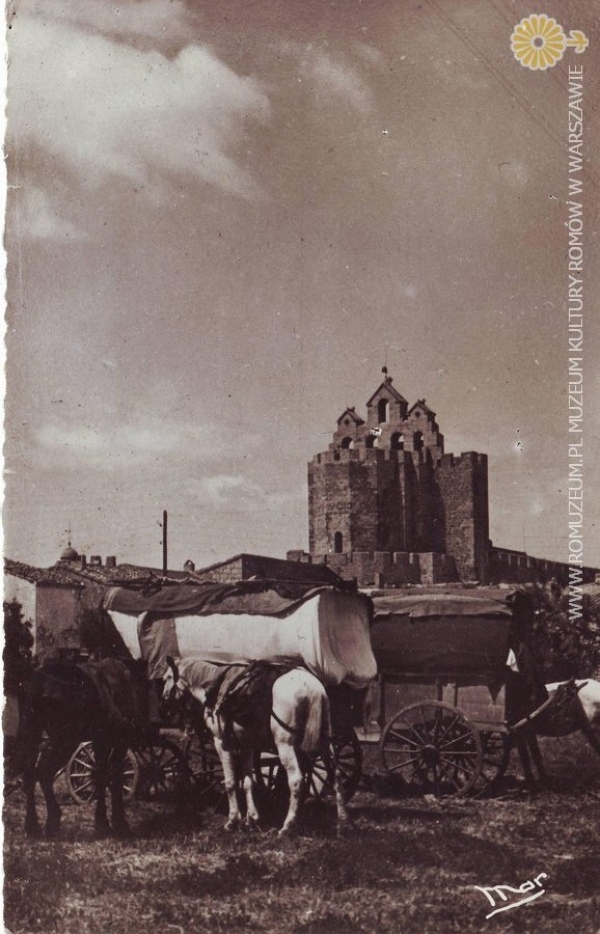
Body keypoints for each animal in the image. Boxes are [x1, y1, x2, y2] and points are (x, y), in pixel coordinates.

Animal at [16, 660, 150, 840]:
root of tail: (41, 684)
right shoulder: (119, 741)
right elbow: (114, 776)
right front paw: (117, 823)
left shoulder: (101, 740)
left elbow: (101, 775)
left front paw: (103, 822)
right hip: (65, 740)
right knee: (43, 770)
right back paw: (51, 821)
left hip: (31, 732)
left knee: (31, 774)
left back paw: (34, 826)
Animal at [162, 660, 350, 840]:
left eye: (167, 677)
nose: (164, 700)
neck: (215, 688)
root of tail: (313, 688)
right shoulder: (247, 745)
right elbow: (247, 781)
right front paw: (251, 819)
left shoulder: (221, 743)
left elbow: (230, 782)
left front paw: (233, 820)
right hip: (325, 741)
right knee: (336, 774)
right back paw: (342, 823)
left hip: (285, 745)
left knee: (297, 780)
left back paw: (287, 826)